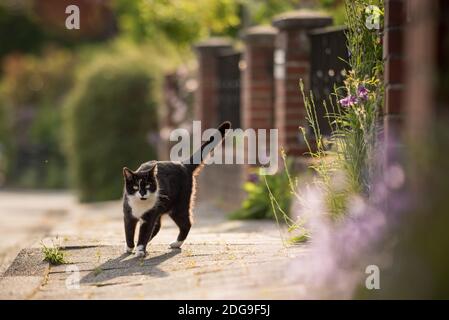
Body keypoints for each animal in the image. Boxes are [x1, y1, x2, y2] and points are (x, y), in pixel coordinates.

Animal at [121, 121, 229, 256]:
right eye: (135, 187)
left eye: (148, 185)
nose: (142, 193)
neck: (140, 205)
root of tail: (183, 165)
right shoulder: (128, 213)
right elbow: (129, 231)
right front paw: (130, 247)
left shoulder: (149, 216)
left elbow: (144, 232)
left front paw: (140, 250)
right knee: (157, 226)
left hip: (179, 206)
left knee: (186, 223)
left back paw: (176, 243)